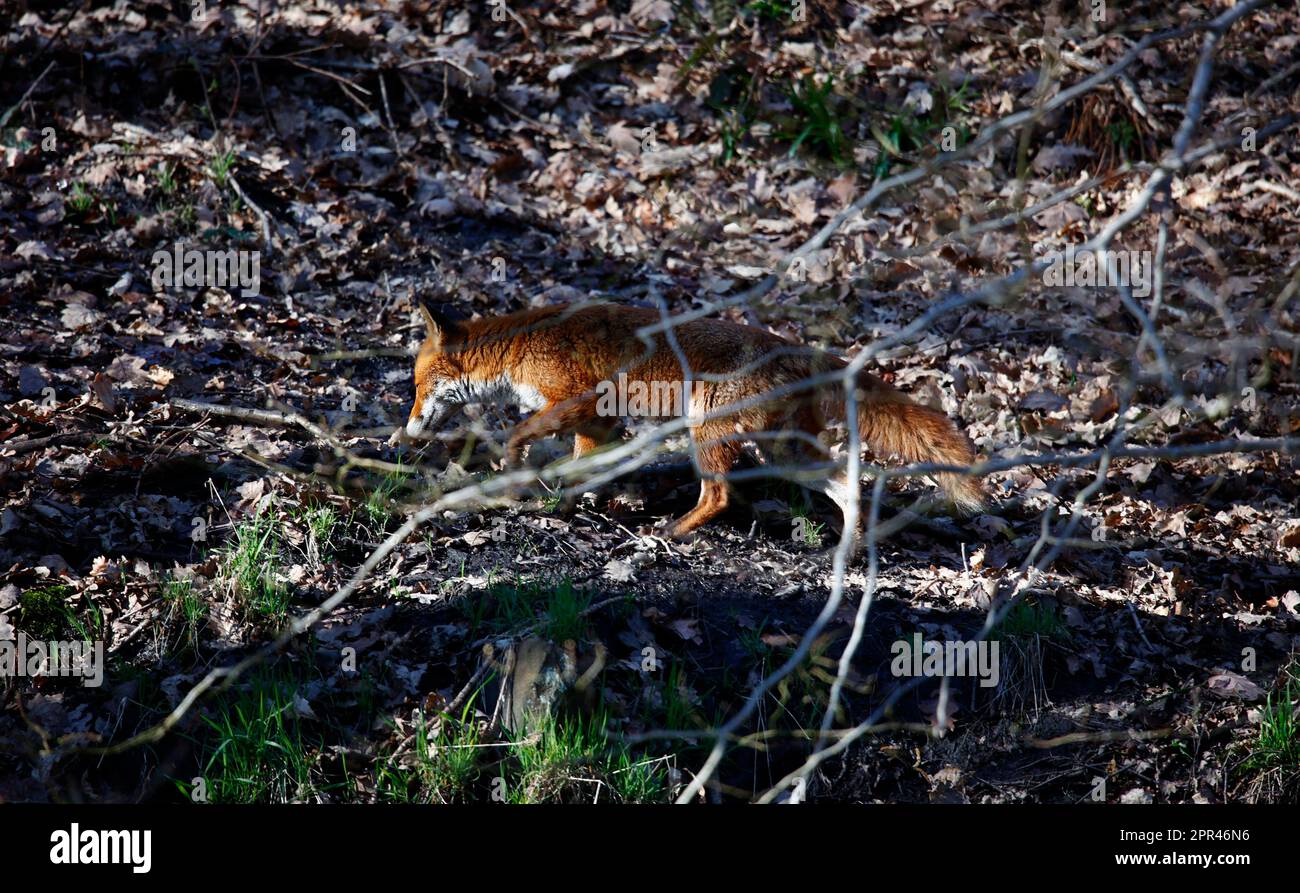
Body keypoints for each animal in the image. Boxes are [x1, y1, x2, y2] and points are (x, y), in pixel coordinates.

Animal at [390, 300, 977, 538]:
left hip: (706, 431)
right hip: (786, 452)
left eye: (416, 388)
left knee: (719, 496)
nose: (407, 431)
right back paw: (849, 552)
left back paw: (674, 531)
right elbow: (582, 470)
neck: (517, 350)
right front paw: (567, 505)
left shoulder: (584, 400)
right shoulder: (601, 425)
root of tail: (794, 348)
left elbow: (520, 434)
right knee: (848, 484)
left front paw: (518, 475)